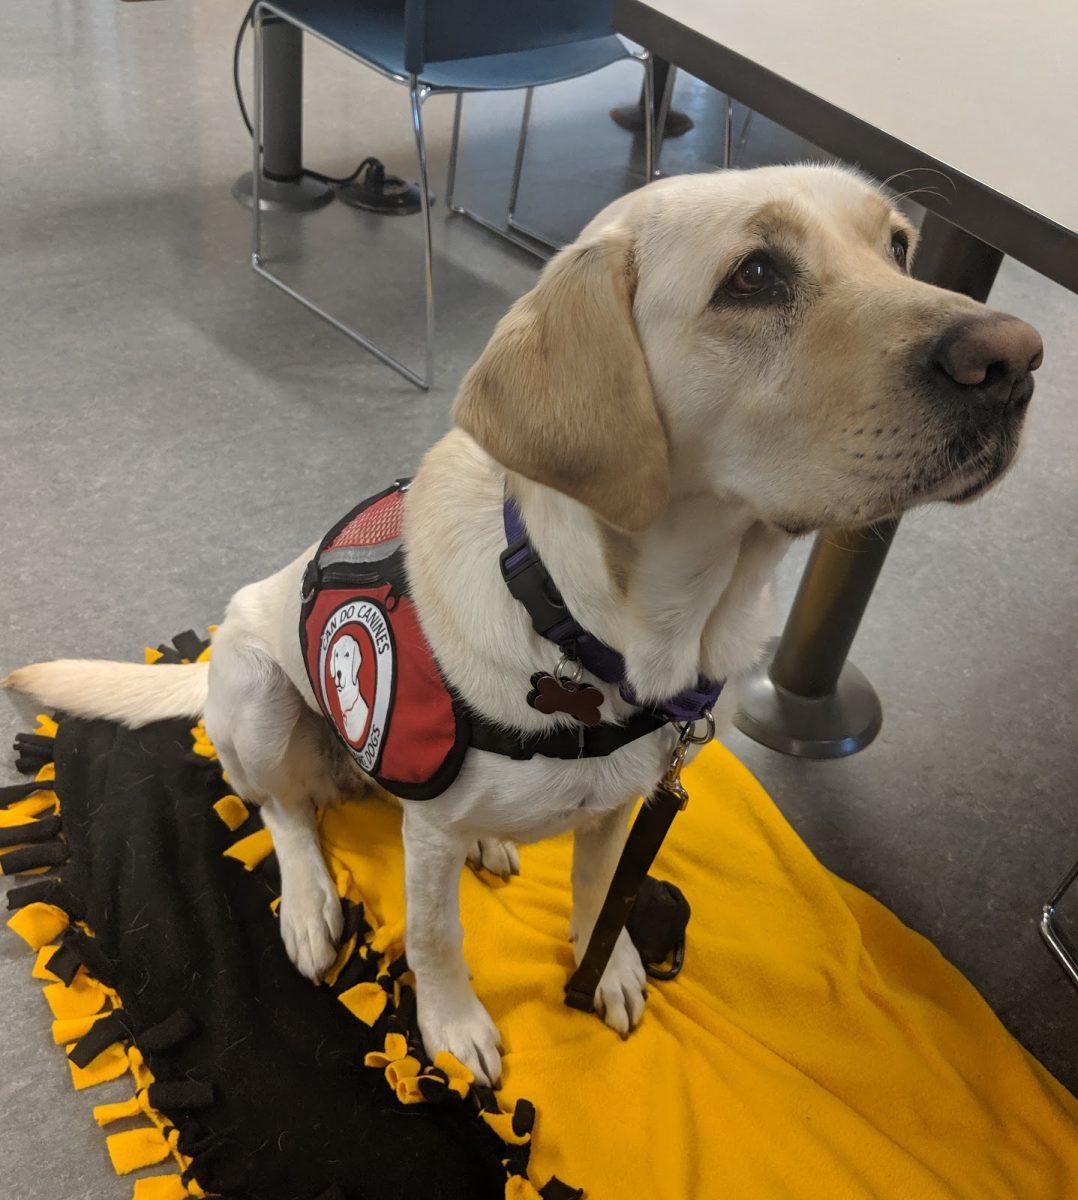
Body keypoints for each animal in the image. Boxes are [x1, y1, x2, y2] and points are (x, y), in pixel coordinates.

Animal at [4, 164, 1037, 1084]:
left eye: (898, 246)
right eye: (752, 276)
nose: (1018, 359)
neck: (598, 633)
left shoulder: (625, 805)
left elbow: (602, 891)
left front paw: (605, 963)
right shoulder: (425, 839)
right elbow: (435, 935)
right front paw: (453, 1025)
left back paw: (492, 841)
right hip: (258, 692)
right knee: (280, 807)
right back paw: (306, 900)